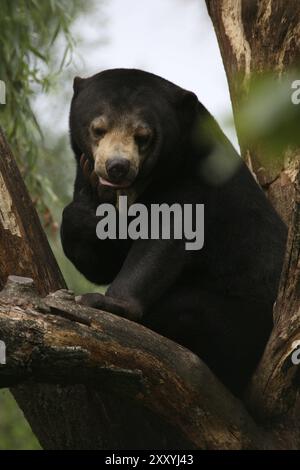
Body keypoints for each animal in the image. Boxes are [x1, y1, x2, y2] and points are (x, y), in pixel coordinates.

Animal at [60, 68, 286, 394]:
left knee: (187, 309)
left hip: (246, 317)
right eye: (98, 129)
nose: (117, 166)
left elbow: (163, 243)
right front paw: (91, 213)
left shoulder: (196, 178)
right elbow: (101, 260)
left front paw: (104, 302)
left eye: (143, 136)